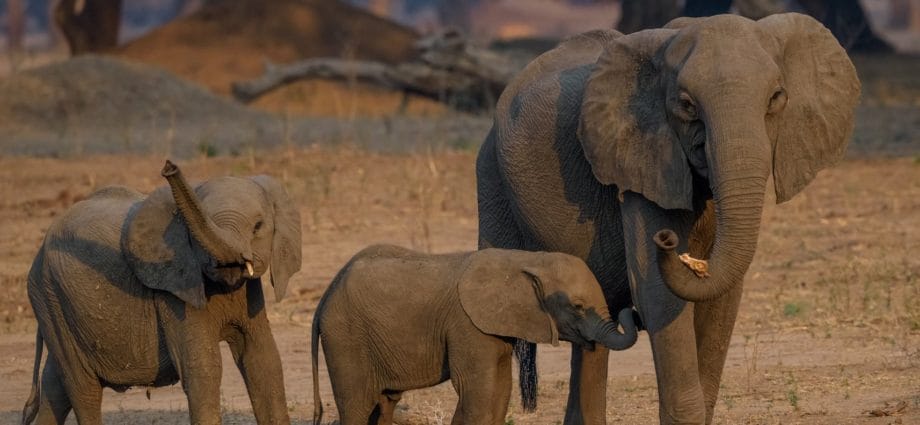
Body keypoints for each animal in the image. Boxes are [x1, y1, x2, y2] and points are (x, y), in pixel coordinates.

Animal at [21, 160, 302, 425]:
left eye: (257, 227)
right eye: (192, 233)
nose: (169, 167)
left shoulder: (248, 293)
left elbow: (263, 361)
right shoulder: (175, 292)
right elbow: (203, 368)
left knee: (55, 385)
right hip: (49, 296)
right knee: (82, 388)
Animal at [310, 244, 640, 425]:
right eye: (578, 307)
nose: (633, 311)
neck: (528, 259)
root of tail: (325, 296)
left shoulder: (493, 328)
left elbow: (501, 387)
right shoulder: (467, 324)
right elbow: (478, 387)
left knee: (384, 405)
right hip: (345, 337)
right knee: (357, 406)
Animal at [476, 13, 859, 424]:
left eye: (776, 98)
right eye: (687, 105)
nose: (668, 242)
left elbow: (722, 297)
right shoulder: (643, 161)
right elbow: (657, 293)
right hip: (491, 178)